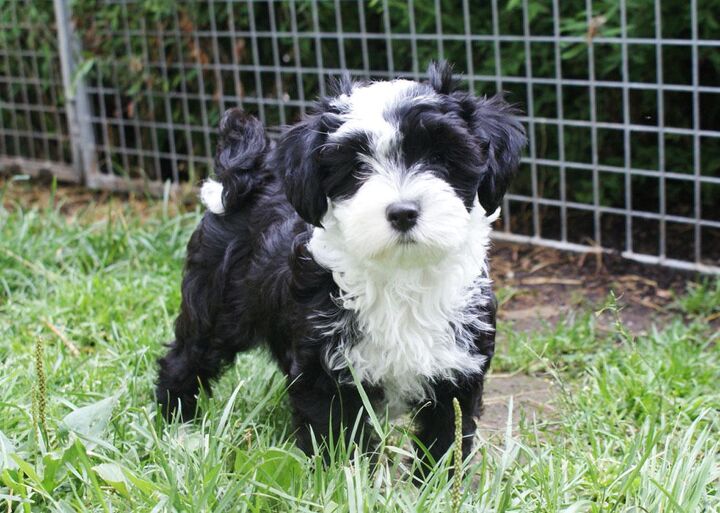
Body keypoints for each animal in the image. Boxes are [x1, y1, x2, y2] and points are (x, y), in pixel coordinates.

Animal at [156, 62, 524, 470]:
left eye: (441, 158)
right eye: (357, 168)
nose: (403, 212)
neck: (401, 275)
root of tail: (246, 179)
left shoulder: (457, 369)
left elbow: (447, 438)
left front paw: (442, 481)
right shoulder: (326, 371)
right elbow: (335, 438)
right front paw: (340, 475)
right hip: (217, 304)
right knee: (186, 358)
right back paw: (179, 431)